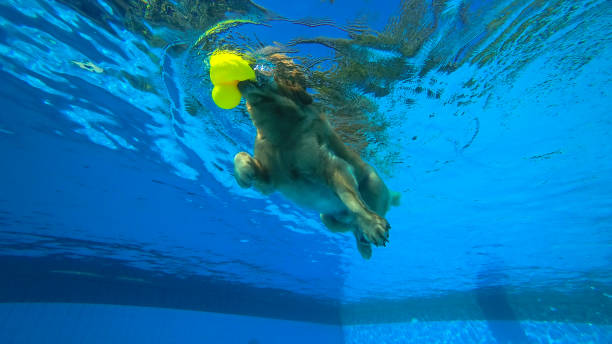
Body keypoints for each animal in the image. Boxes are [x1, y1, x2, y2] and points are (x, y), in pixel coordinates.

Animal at [232, 53, 400, 258]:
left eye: (278, 65)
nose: (246, 59)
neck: (282, 133)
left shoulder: (332, 167)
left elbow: (352, 199)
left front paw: (372, 223)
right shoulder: (270, 182)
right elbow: (239, 155)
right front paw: (243, 173)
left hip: (373, 183)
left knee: (360, 211)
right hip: (326, 219)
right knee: (351, 226)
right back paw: (363, 243)